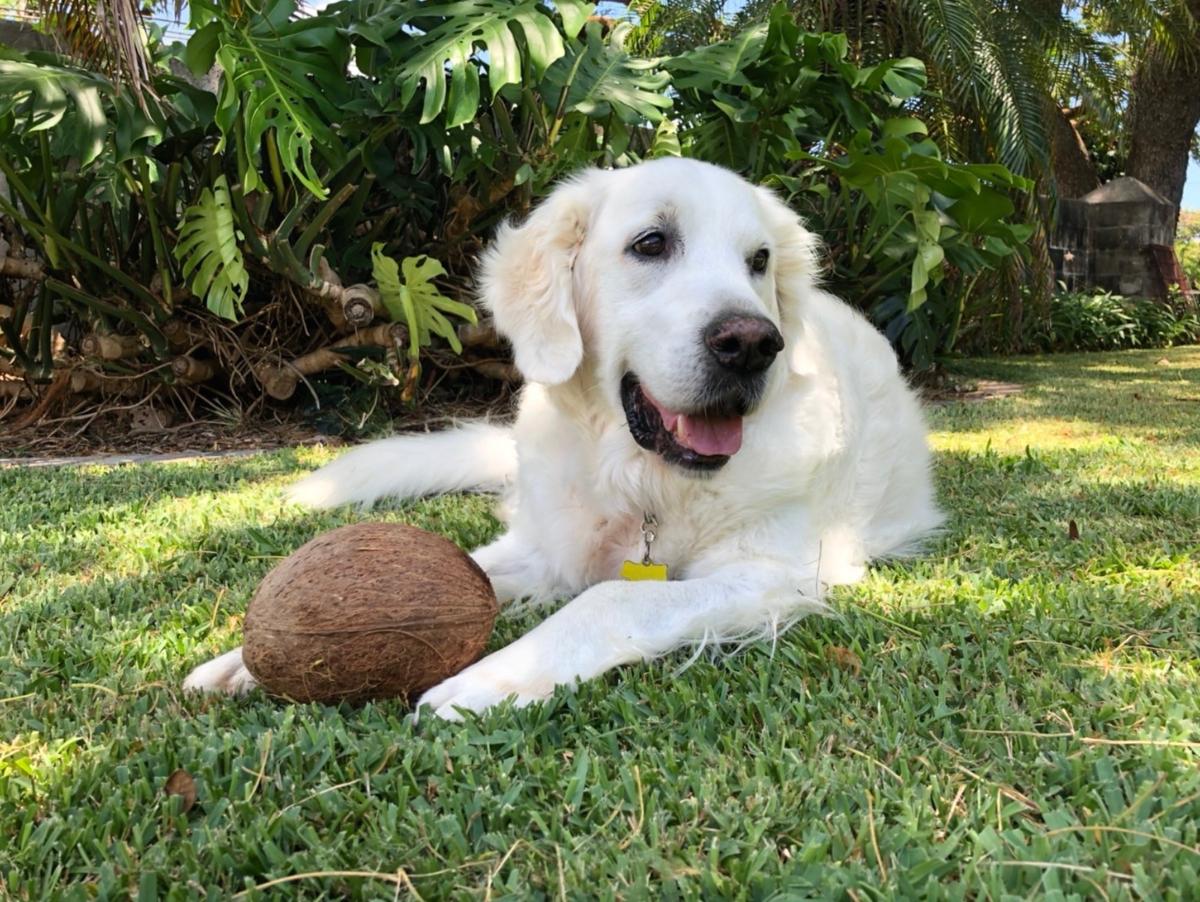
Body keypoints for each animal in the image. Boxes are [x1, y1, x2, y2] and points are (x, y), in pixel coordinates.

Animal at [182, 157, 940, 719]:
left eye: (759, 260)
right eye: (651, 243)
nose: (753, 344)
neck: (646, 480)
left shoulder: (771, 574)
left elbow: (613, 598)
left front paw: (492, 677)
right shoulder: (547, 546)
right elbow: (470, 568)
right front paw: (240, 661)